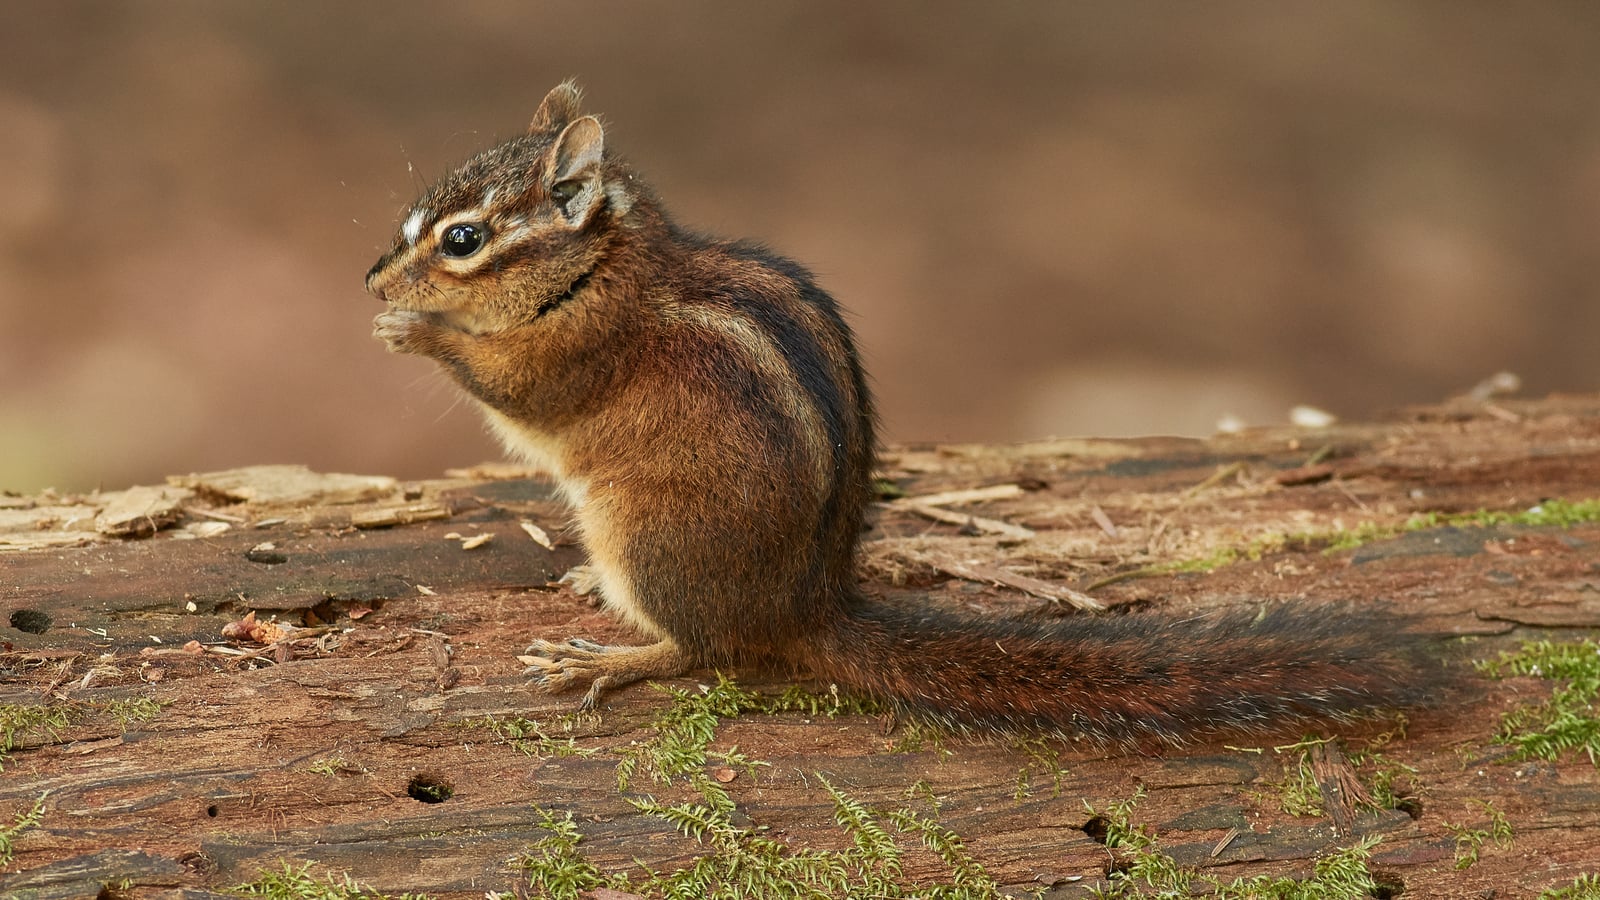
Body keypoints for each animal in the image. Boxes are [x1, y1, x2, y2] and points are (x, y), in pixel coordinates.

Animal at [365, 81, 1442, 746]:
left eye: (462, 240)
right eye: (416, 221)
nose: (372, 278)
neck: (605, 266)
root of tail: (805, 608)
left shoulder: (578, 352)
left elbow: (518, 393)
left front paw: (415, 331)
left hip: (648, 533)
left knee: (704, 652)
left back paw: (609, 656)